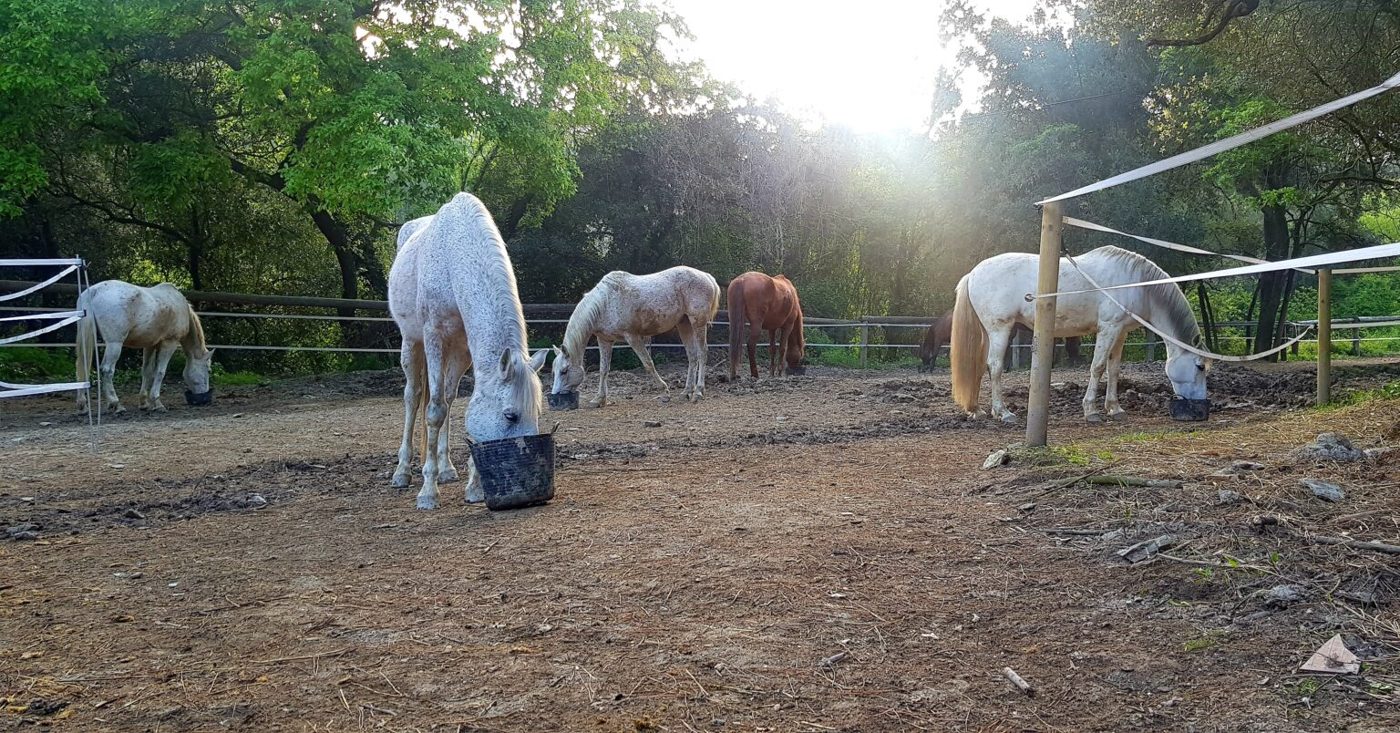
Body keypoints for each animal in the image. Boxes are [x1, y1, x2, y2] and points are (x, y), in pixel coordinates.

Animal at [74, 281, 214, 413]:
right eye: (208, 370)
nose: (204, 397)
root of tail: (94, 290)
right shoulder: (169, 343)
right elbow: (160, 372)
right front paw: (157, 403)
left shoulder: (149, 345)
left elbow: (147, 371)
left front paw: (144, 402)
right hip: (115, 344)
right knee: (107, 370)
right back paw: (116, 404)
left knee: (83, 368)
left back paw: (83, 406)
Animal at [388, 193, 548, 510]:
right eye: (510, 416)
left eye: (536, 413)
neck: (454, 261)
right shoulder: (434, 336)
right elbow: (434, 411)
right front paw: (428, 493)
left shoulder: (469, 350)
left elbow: (460, 407)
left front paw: (475, 488)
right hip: (412, 344)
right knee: (414, 398)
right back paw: (402, 473)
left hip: (456, 356)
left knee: (448, 398)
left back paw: (446, 469)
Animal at [550, 266, 720, 407]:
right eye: (554, 371)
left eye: (564, 371)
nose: (555, 395)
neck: (605, 302)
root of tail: (707, 277)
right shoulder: (605, 340)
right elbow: (603, 369)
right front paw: (599, 399)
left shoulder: (632, 337)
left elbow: (648, 363)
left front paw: (665, 392)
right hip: (684, 324)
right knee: (692, 356)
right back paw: (686, 392)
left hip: (698, 323)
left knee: (702, 353)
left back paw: (698, 392)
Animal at [951, 245, 1207, 423]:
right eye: (1200, 366)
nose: (1201, 405)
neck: (1135, 283)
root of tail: (973, 274)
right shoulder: (1108, 329)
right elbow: (1098, 367)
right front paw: (1091, 411)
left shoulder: (1120, 333)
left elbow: (1114, 370)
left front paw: (1115, 408)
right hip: (1000, 329)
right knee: (994, 367)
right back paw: (1003, 412)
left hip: (988, 333)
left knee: (979, 366)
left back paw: (976, 410)